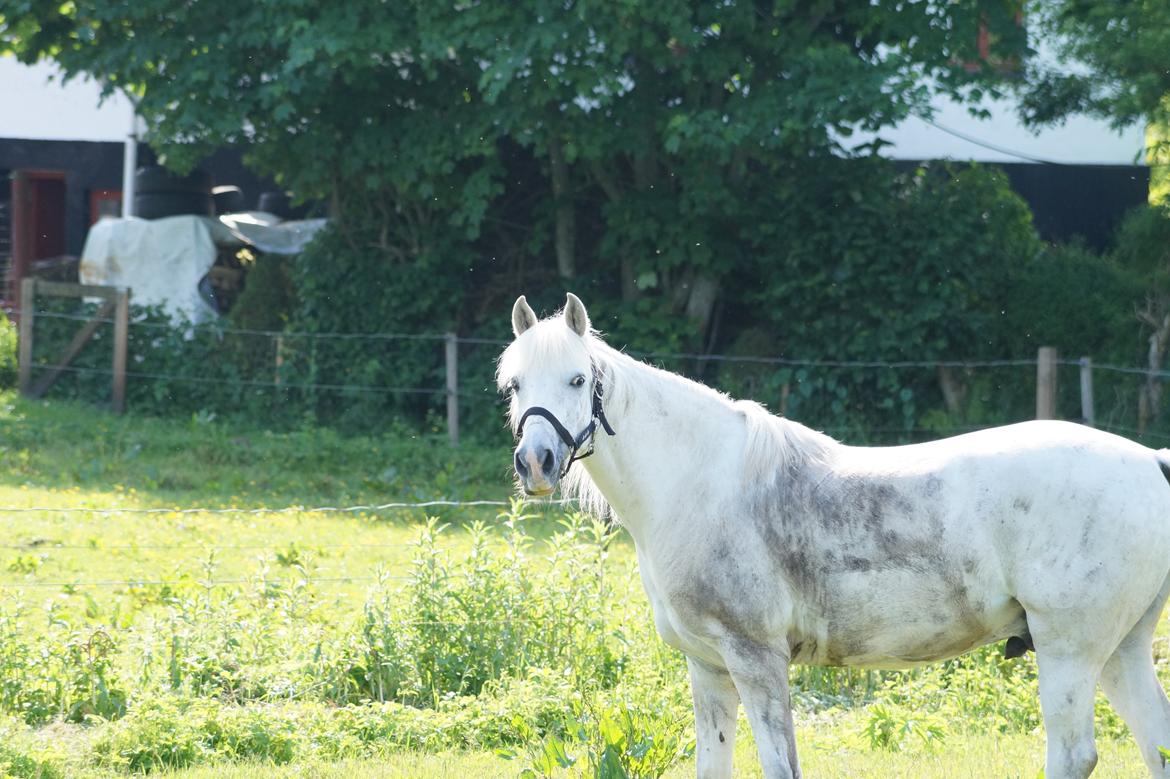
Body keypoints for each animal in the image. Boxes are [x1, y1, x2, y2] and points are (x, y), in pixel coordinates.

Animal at [497, 293, 1170, 779]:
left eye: (578, 379)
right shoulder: (709, 668)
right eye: (515, 384)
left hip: (1069, 650)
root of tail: (1152, 461)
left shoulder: (757, 659)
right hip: (1121, 649)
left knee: (1074, 755)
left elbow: (780, 767)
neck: (700, 481)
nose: (537, 463)